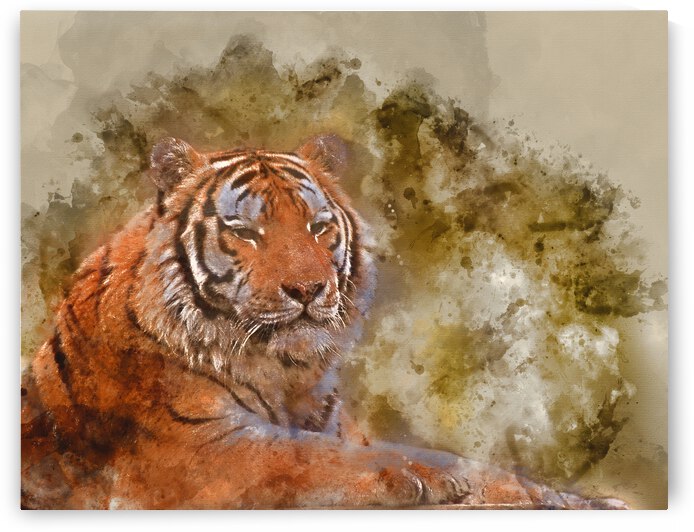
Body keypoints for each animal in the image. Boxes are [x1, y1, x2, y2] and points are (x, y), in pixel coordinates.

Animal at [20, 135, 627, 509]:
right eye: (246, 232)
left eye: (317, 227)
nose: (308, 289)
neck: (285, 372)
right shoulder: (202, 452)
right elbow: (317, 459)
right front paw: (432, 477)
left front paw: (580, 500)